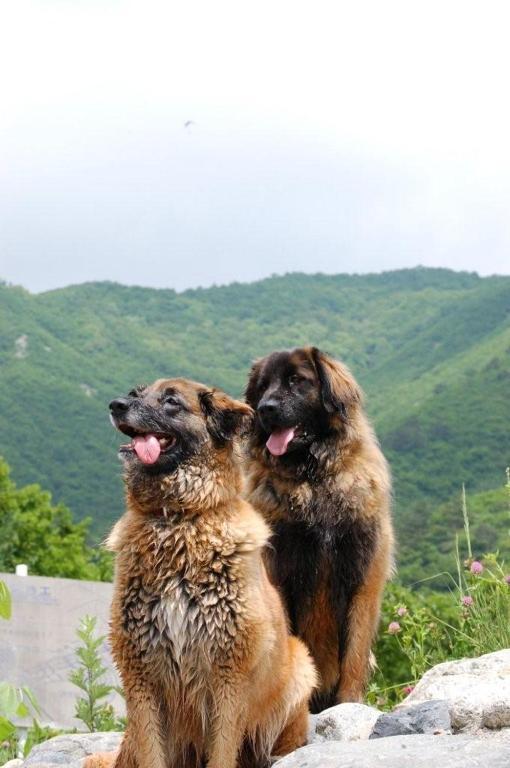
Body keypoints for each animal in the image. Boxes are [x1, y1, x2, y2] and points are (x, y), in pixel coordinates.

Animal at [85, 378, 316, 768]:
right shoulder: (140, 673)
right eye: (135, 394)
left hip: (300, 667)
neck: (177, 521)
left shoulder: (229, 676)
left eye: (171, 402)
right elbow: (150, 753)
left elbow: (223, 750)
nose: (116, 405)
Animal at [243, 348, 394, 712]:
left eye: (297, 380)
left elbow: (354, 652)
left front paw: (350, 702)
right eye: (263, 386)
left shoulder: (363, 577)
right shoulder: (278, 573)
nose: (265, 408)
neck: (314, 481)